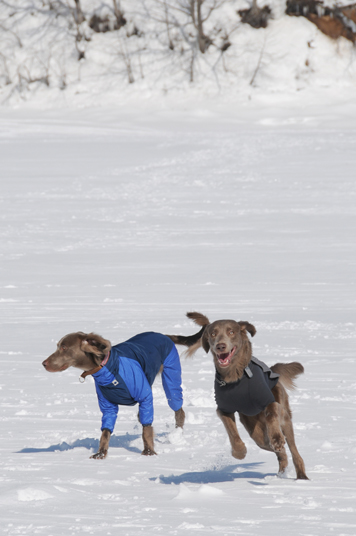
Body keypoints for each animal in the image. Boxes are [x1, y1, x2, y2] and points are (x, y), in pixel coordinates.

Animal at [168, 312, 308, 480]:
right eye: (213, 334)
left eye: (231, 332)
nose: (220, 346)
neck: (234, 377)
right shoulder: (223, 409)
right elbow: (232, 432)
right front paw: (239, 451)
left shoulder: (269, 401)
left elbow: (271, 415)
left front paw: (277, 438)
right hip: (255, 431)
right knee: (277, 450)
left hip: (285, 417)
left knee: (293, 450)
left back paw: (301, 475)